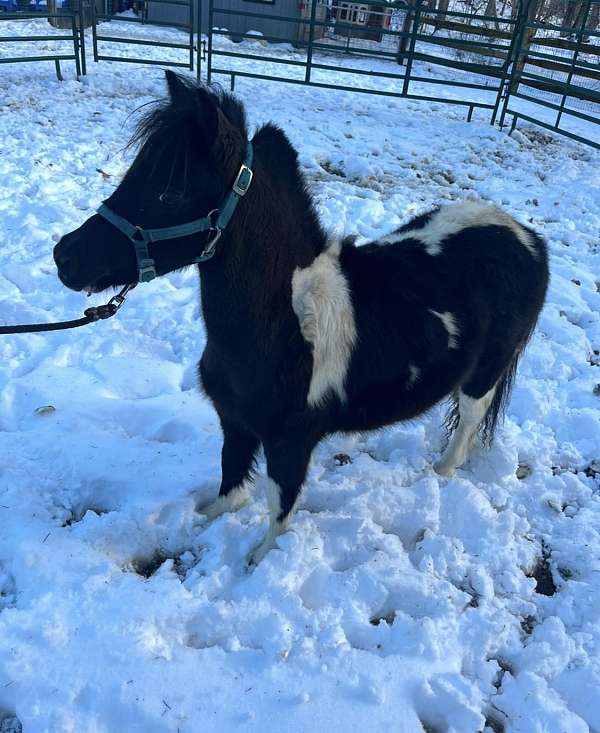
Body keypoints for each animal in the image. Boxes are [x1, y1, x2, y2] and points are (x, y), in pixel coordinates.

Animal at [54, 73, 552, 568]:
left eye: (170, 191)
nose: (65, 257)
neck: (283, 322)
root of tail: (526, 237)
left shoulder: (290, 441)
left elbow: (280, 504)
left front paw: (259, 561)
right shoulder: (234, 421)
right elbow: (230, 479)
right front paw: (204, 519)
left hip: (484, 373)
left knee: (470, 418)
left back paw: (442, 471)